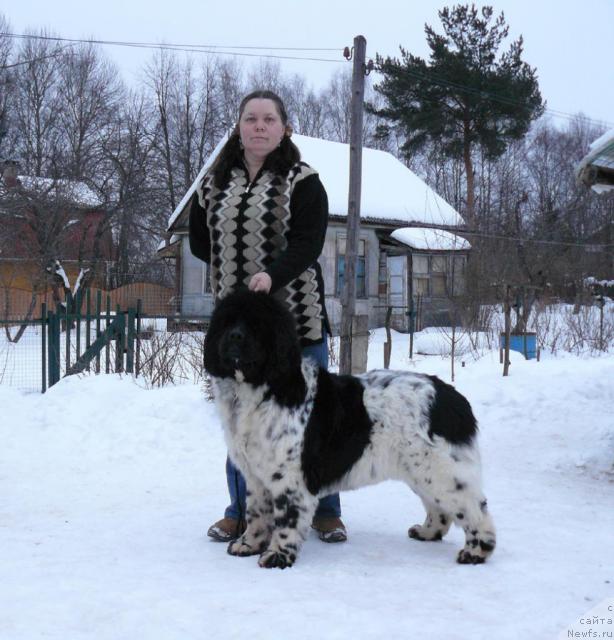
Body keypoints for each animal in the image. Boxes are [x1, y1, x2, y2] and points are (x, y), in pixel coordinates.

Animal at [205, 288, 498, 568]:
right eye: (227, 321)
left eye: (256, 324)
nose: (234, 336)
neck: (263, 388)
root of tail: (454, 399)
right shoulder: (256, 476)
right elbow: (256, 513)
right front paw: (248, 545)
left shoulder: (288, 477)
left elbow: (286, 520)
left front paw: (277, 556)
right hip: (421, 471)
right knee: (440, 508)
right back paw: (427, 532)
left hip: (441, 471)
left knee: (475, 509)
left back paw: (476, 551)